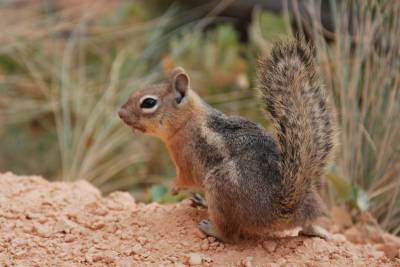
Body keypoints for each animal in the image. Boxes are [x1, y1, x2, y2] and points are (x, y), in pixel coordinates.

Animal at [119, 39, 338, 243]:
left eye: (149, 102)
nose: (120, 113)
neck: (187, 120)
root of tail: (282, 209)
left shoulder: (185, 162)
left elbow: (184, 179)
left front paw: (173, 188)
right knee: (307, 223)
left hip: (218, 187)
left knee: (229, 234)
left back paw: (210, 227)